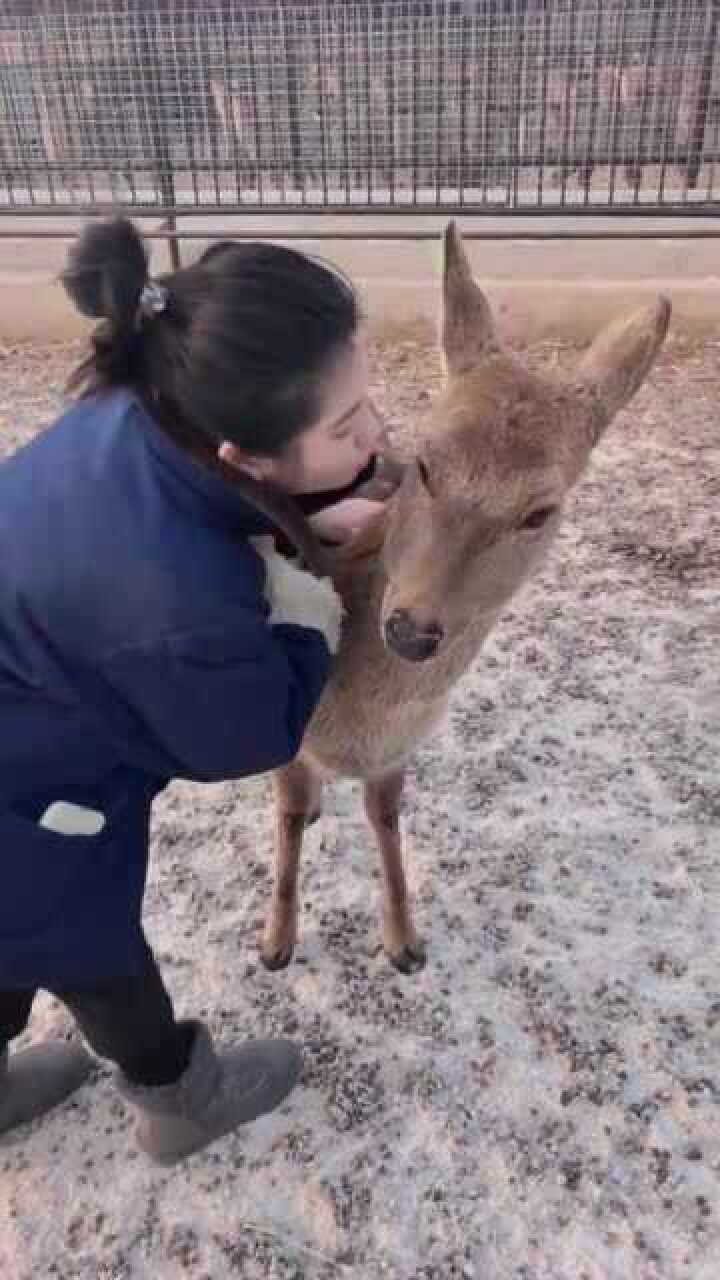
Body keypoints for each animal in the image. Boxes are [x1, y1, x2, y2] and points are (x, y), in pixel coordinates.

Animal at [256, 225, 666, 972]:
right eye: (424, 462)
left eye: (541, 511)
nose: (412, 628)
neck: (355, 723)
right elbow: (290, 814)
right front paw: (276, 944)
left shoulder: (399, 752)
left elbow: (386, 820)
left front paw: (404, 944)